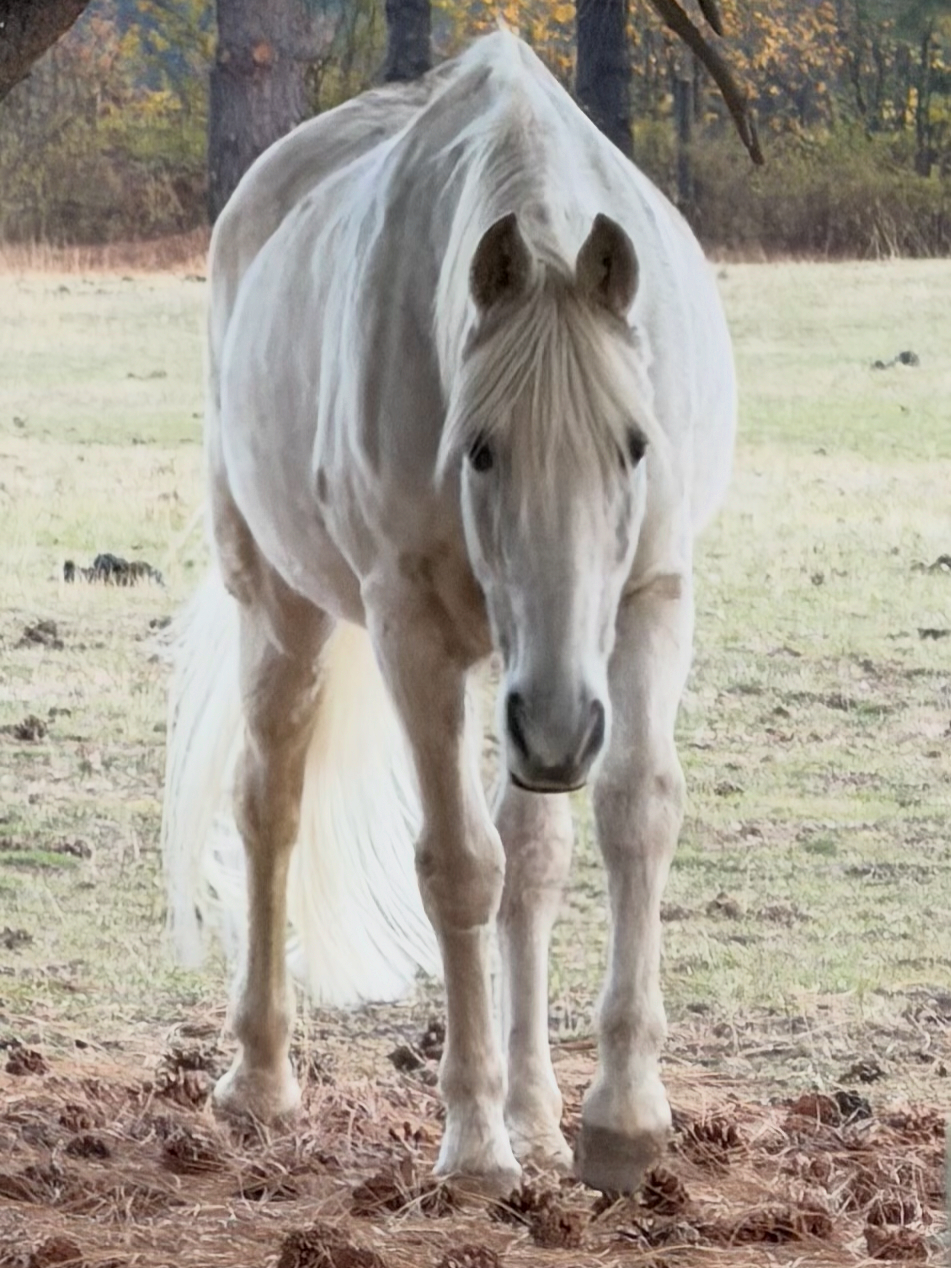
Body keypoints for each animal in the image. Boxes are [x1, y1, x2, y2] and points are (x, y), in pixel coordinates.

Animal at [161, 29, 736, 1195]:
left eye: (634, 446)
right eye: (480, 450)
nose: (559, 726)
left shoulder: (646, 603)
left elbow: (630, 817)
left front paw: (619, 1119)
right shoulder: (413, 635)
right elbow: (460, 867)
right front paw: (474, 1140)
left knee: (536, 856)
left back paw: (541, 1113)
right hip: (285, 609)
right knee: (269, 803)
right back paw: (261, 1079)